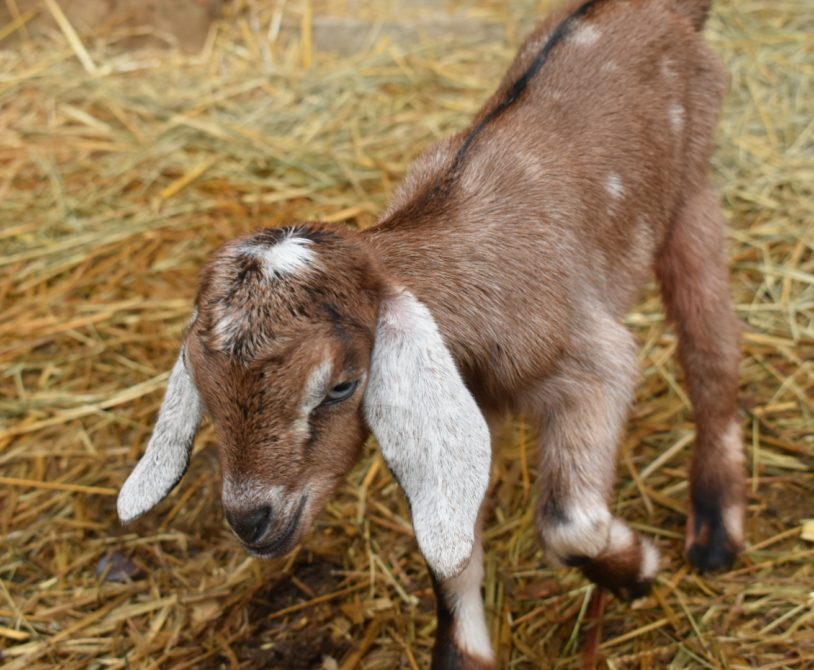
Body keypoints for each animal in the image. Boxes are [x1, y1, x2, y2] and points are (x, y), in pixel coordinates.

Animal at [118, 1, 748, 668]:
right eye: (202, 383)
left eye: (341, 386)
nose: (251, 520)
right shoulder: (457, 405)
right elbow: (451, 546)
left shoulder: (592, 361)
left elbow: (569, 522)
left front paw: (640, 571)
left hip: (691, 188)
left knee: (712, 349)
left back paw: (715, 531)